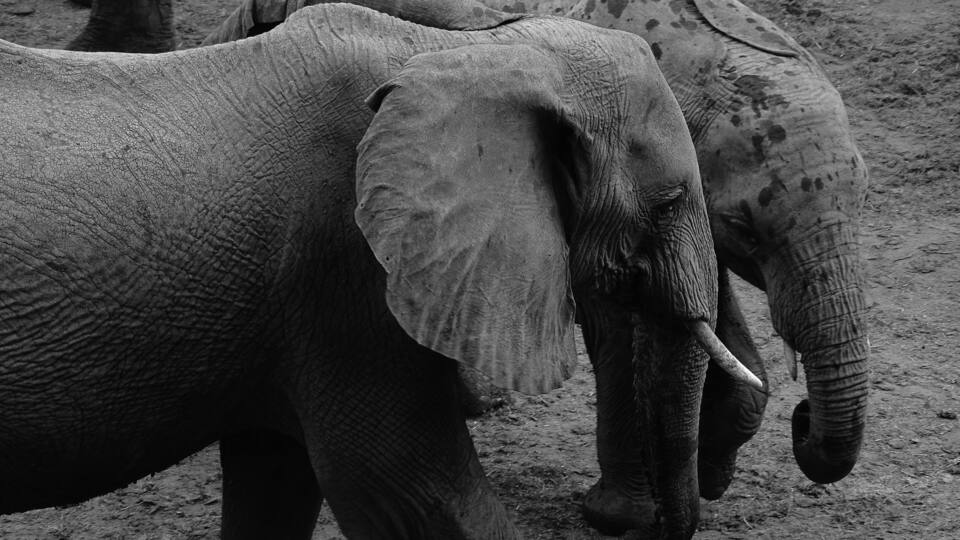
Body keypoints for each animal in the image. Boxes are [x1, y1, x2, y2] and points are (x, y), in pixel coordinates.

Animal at [0, 3, 758, 538]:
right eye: (670, 201)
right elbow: (410, 492)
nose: (649, 524)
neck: (470, 49)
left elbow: (276, 479)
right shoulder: (350, 275)